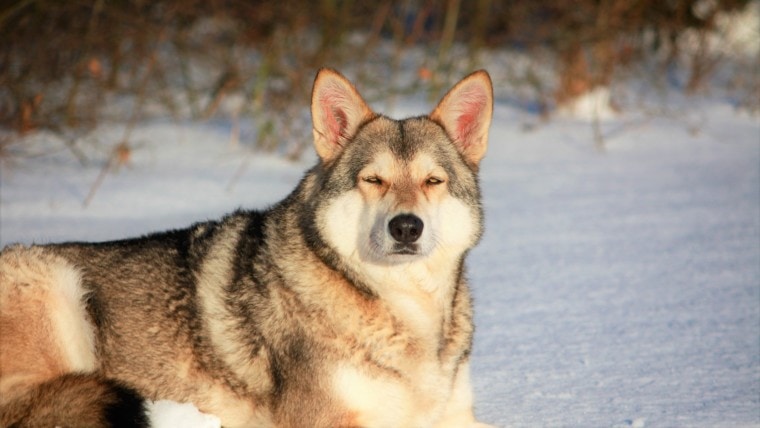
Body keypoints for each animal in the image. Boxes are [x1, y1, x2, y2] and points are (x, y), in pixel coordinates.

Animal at [0, 68, 496, 426]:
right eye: (373, 180)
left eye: (433, 181)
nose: (406, 228)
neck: (403, 308)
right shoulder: (331, 420)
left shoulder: (455, 415)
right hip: (53, 283)